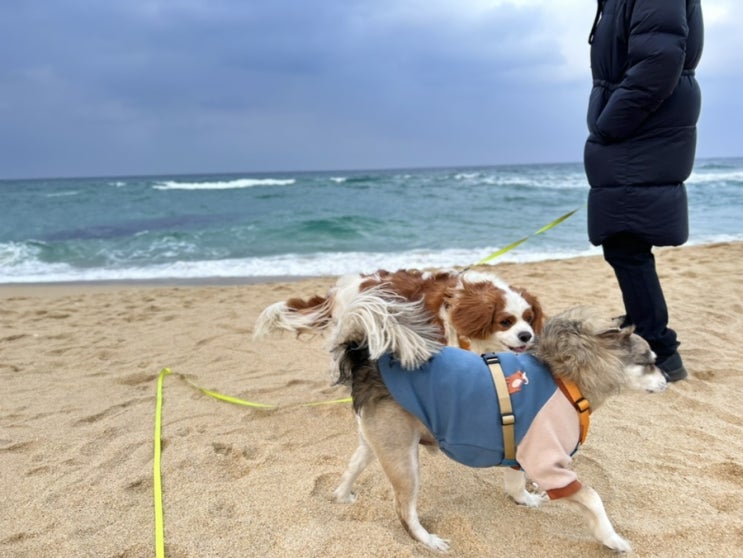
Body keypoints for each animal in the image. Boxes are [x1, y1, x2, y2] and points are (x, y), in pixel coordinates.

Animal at [332, 298, 668, 556]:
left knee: (351, 468)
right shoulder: (548, 462)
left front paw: (527, 499)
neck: (567, 378)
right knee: (404, 511)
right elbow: (593, 499)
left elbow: (515, 485)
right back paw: (427, 539)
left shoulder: (522, 452)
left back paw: (342, 495)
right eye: (649, 362)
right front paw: (612, 539)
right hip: (404, 460)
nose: (667, 381)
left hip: (377, 444)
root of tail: (367, 362)